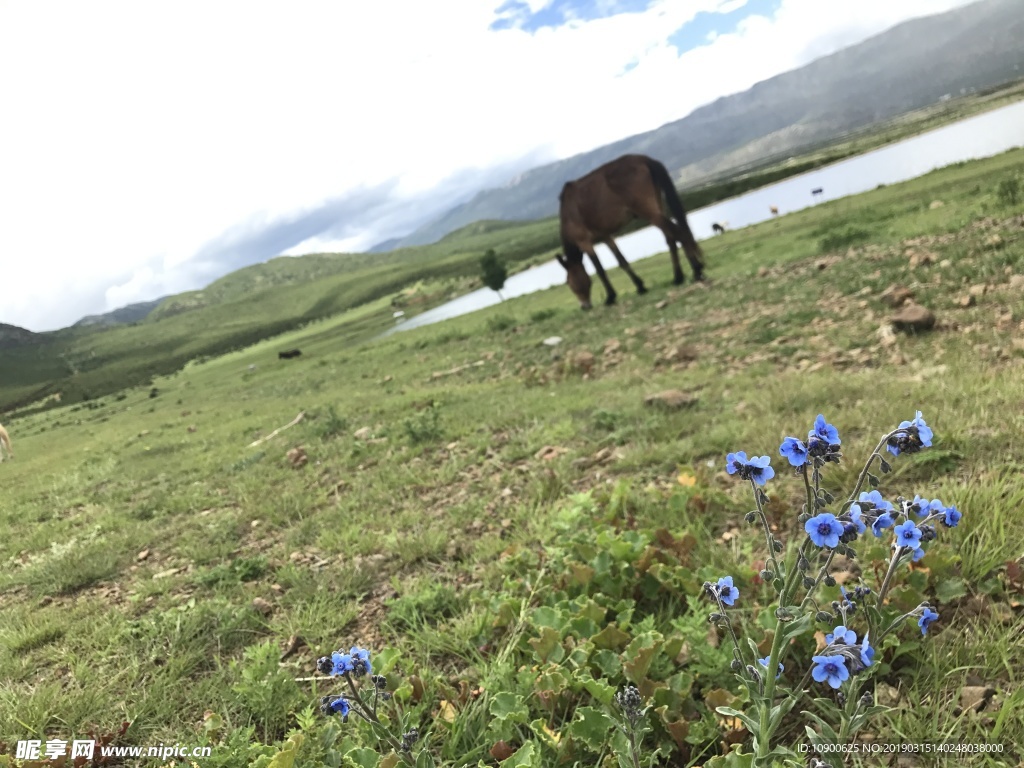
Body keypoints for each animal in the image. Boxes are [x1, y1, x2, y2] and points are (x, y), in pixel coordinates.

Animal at [552, 153, 704, 309]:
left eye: (570, 283)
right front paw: (640, 286)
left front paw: (610, 297)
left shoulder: (585, 242)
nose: (584, 307)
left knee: (680, 233)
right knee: (671, 239)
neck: (567, 214)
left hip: (649, 213)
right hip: (657, 207)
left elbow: (600, 270)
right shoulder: (605, 236)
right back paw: (678, 277)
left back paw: (697, 270)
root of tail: (642, 158)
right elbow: (622, 261)